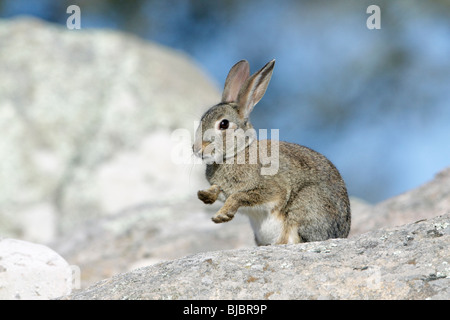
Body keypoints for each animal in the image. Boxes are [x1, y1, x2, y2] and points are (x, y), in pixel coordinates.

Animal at [192, 60, 350, 245]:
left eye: (223, 124)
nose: (196, 148)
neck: (237, 153)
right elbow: (219, 190)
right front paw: (205, 195)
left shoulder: (272, 189)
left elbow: (240, 196)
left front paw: (222, 216)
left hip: (307, 204)